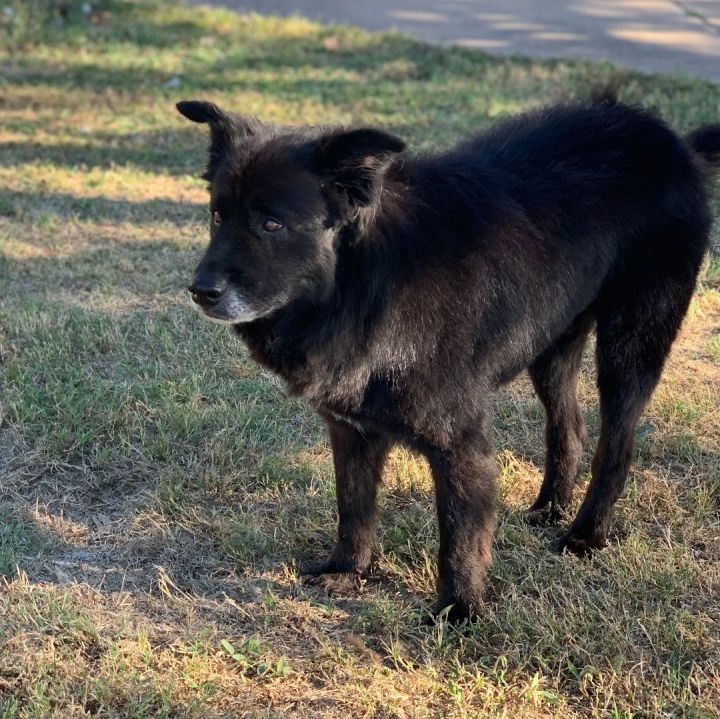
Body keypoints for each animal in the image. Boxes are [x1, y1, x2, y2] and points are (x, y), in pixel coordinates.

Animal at [177, 98, 716, 620]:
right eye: (217, 216)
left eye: (272, 224)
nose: (200, 291)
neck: (366, 282)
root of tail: (672, 142)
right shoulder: (352, 430)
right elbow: (353, 507)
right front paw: (347, 572)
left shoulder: (461, 440)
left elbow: (458, 536)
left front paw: (459, 611)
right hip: (551, 348)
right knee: (570, 428)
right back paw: (549, 509)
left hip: (629, 347)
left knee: (616, 446)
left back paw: (585, 534)